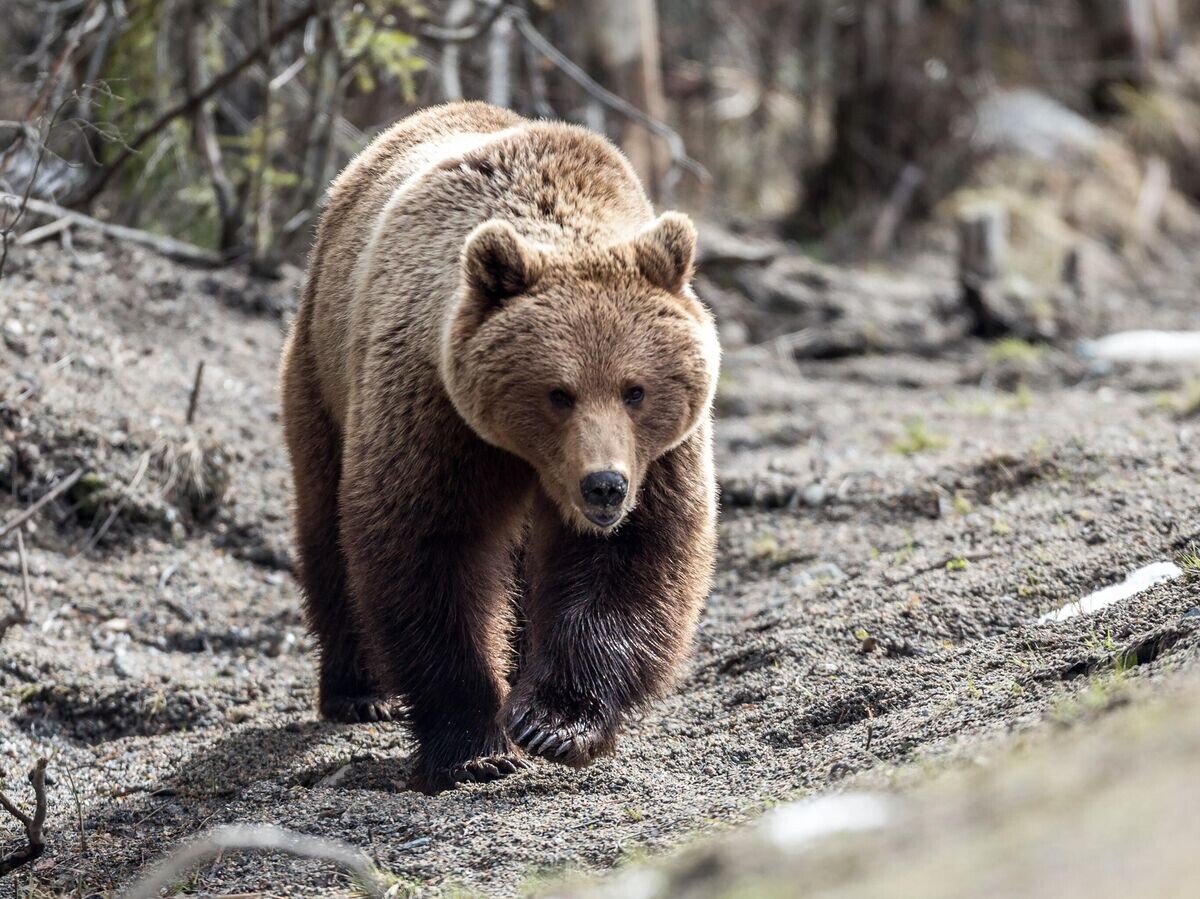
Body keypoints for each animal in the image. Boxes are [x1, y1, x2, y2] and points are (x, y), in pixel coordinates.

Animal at [280, 101, 720, 793]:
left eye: (635, 390)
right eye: (558, 392)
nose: (604, 486)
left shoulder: (661, 457)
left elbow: (633, 556)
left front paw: (553, 722)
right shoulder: (436, 413)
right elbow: (430, 550)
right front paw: (474, 746)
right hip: (323, 375)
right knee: (326, 523)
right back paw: (359, 691)